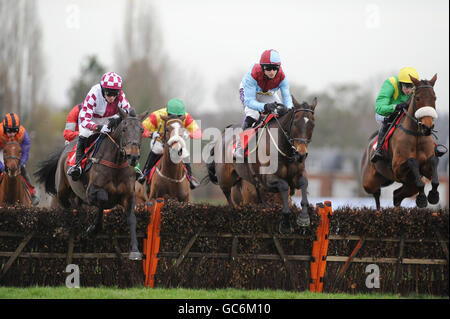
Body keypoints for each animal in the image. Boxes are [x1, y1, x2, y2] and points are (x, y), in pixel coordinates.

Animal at [35, 109, 148, 260]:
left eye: (142, 130)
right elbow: (103, 199)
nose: (133, 157)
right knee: (66, 208)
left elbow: (132, 219)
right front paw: (93, 228)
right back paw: (63, 228)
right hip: (62, 192)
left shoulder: (129, 196)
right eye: (124, 129)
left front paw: (135, 251)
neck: (116, 164)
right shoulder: (91, 192)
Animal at [207, 96, 316, 234]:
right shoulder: (268, 179)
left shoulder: (297, 175)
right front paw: (286, 224)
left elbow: (303, 183)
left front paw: (304, 218)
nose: (301, 154)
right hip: (225, 179)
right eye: (295, 123)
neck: (284, 150)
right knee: (228, 196)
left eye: (312, 124)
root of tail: (224, 132)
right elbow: (284, 186)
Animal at [360, 74, 442, 211]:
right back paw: (378, 210)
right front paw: (422, 198)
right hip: (369, 182)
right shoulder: (397, 168)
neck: (416, 135)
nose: (427, 127)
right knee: (376, 192)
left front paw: (432, 196)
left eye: (434, 98)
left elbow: (433, 162)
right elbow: (412, 161)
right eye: (418, 98)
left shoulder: (426, 168)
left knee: (396, 195)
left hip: (410, 186)